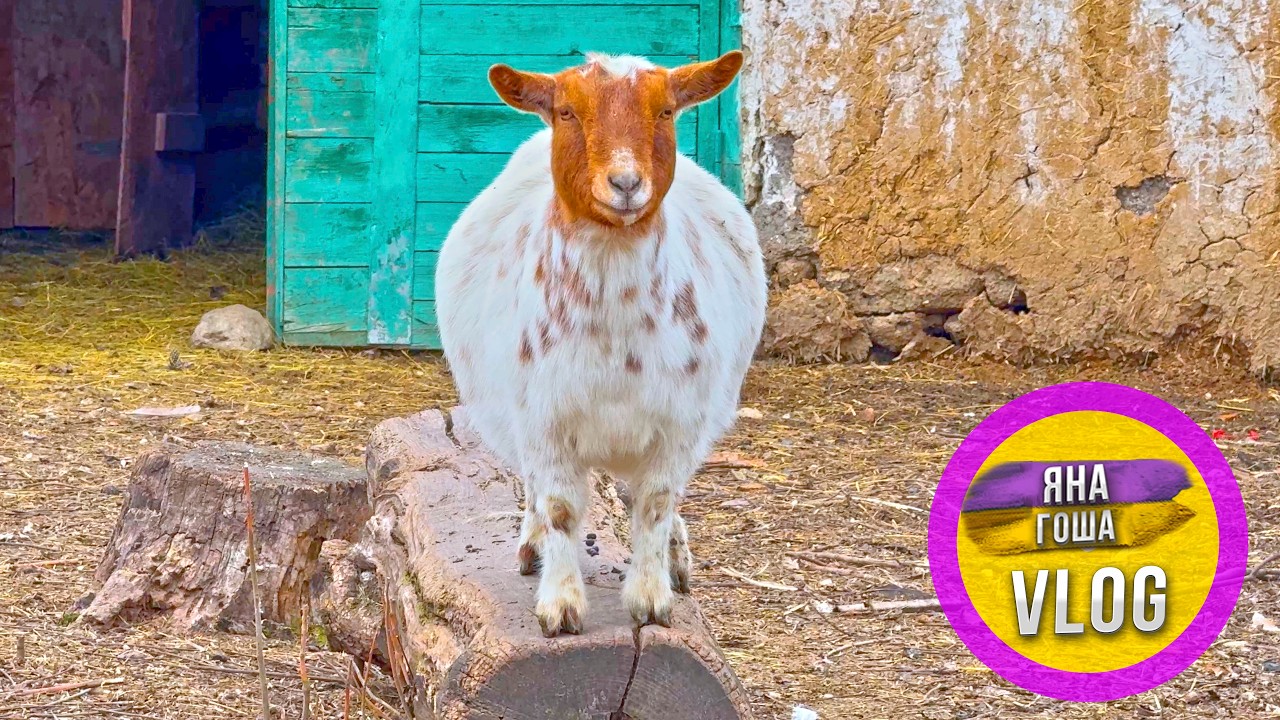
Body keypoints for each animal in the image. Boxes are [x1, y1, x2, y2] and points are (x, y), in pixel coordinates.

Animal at [435, 50, 767, 637]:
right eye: (566, 111)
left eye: (665, 110)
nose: (626, 183)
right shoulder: (543, 419)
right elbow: (560, 508)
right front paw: (561, 605)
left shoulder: (680, 421)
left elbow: (655, 504)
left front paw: (652, 599)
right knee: (532, 487)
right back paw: (531, 546)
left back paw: (676, 557)